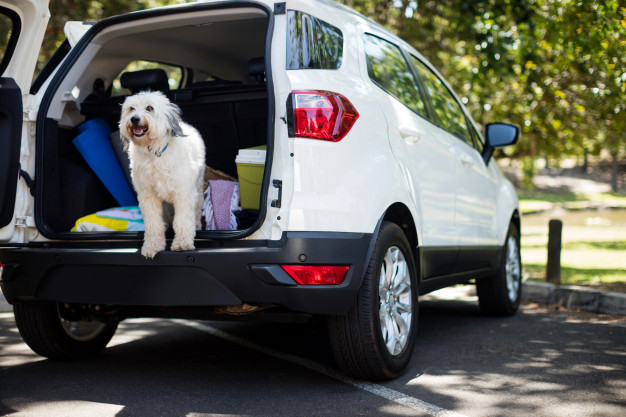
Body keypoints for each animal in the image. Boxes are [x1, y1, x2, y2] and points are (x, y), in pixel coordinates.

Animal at [118, 92, 204, 256]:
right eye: (131, 109)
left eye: (149, 108)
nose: (134, 119)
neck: (154, 153)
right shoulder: (148, 196)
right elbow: (153, 223)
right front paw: (153, 245)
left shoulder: (183, 193)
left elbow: (183, 221)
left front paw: (182, 243)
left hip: (198, 188)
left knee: (195, 211)